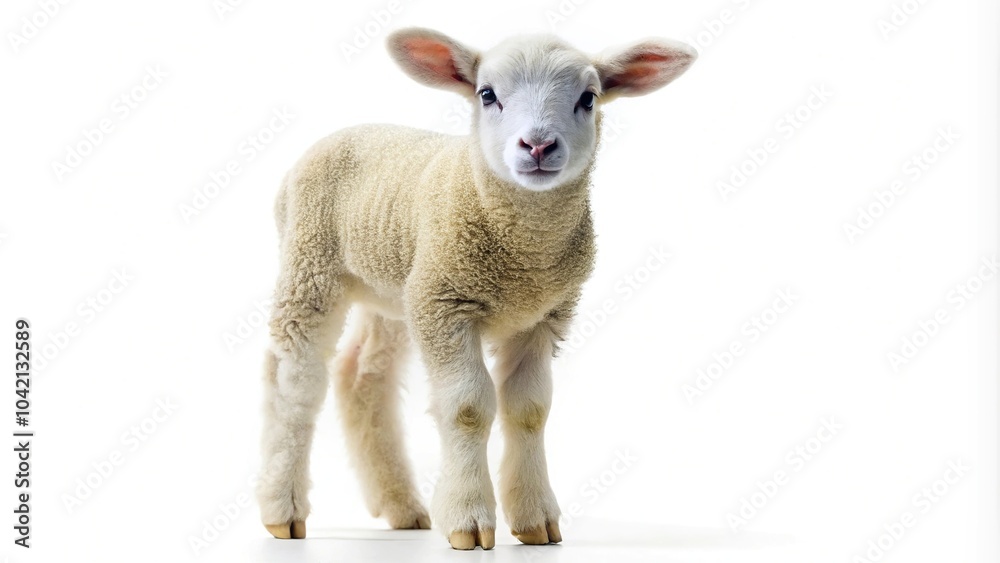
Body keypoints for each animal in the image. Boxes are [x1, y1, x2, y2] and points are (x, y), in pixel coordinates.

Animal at [255, 27, 696, 550]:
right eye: (487, 95)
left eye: (588, 99)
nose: (538, 146)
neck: (524, 256)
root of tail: (344, 131)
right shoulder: (446, 305)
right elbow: (467, 407)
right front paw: (468, 519)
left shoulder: (543, 316)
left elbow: (530, 409)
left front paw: (536, 519)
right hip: (312, 263)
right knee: (294, 377)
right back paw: (282, 509)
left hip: (397, 286)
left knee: (363, 375)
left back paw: (402, 506)